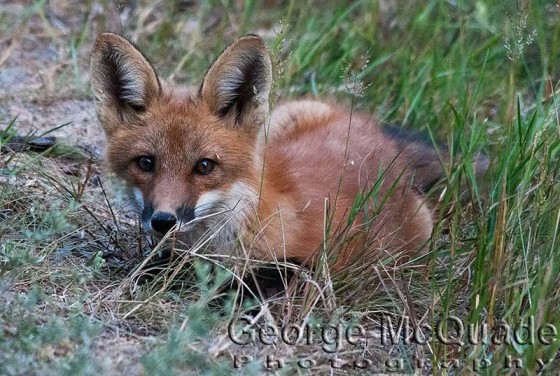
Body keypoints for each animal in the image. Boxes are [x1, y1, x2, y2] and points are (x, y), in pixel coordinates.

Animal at [91, 32, 486, 274]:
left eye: (204, 166)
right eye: (146, 163)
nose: (164, 220)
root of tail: (382, 139)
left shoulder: (311, 263)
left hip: (416, 233)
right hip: (284, 118)